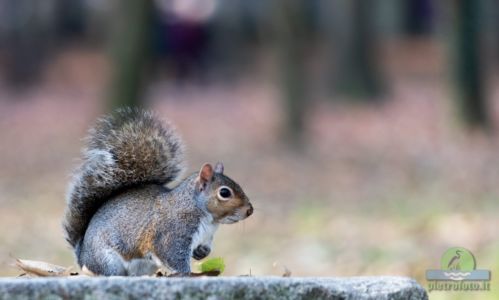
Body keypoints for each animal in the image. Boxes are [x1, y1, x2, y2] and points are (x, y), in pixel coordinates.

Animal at [62, 108, 254, 276]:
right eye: (224, 193)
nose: (250, 210)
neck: (209, 219)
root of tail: (82, 256)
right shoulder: (172, 234)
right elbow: (173, 256)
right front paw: (187, 274)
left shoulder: (205, 237)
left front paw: (201, 253)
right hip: (106, 261)